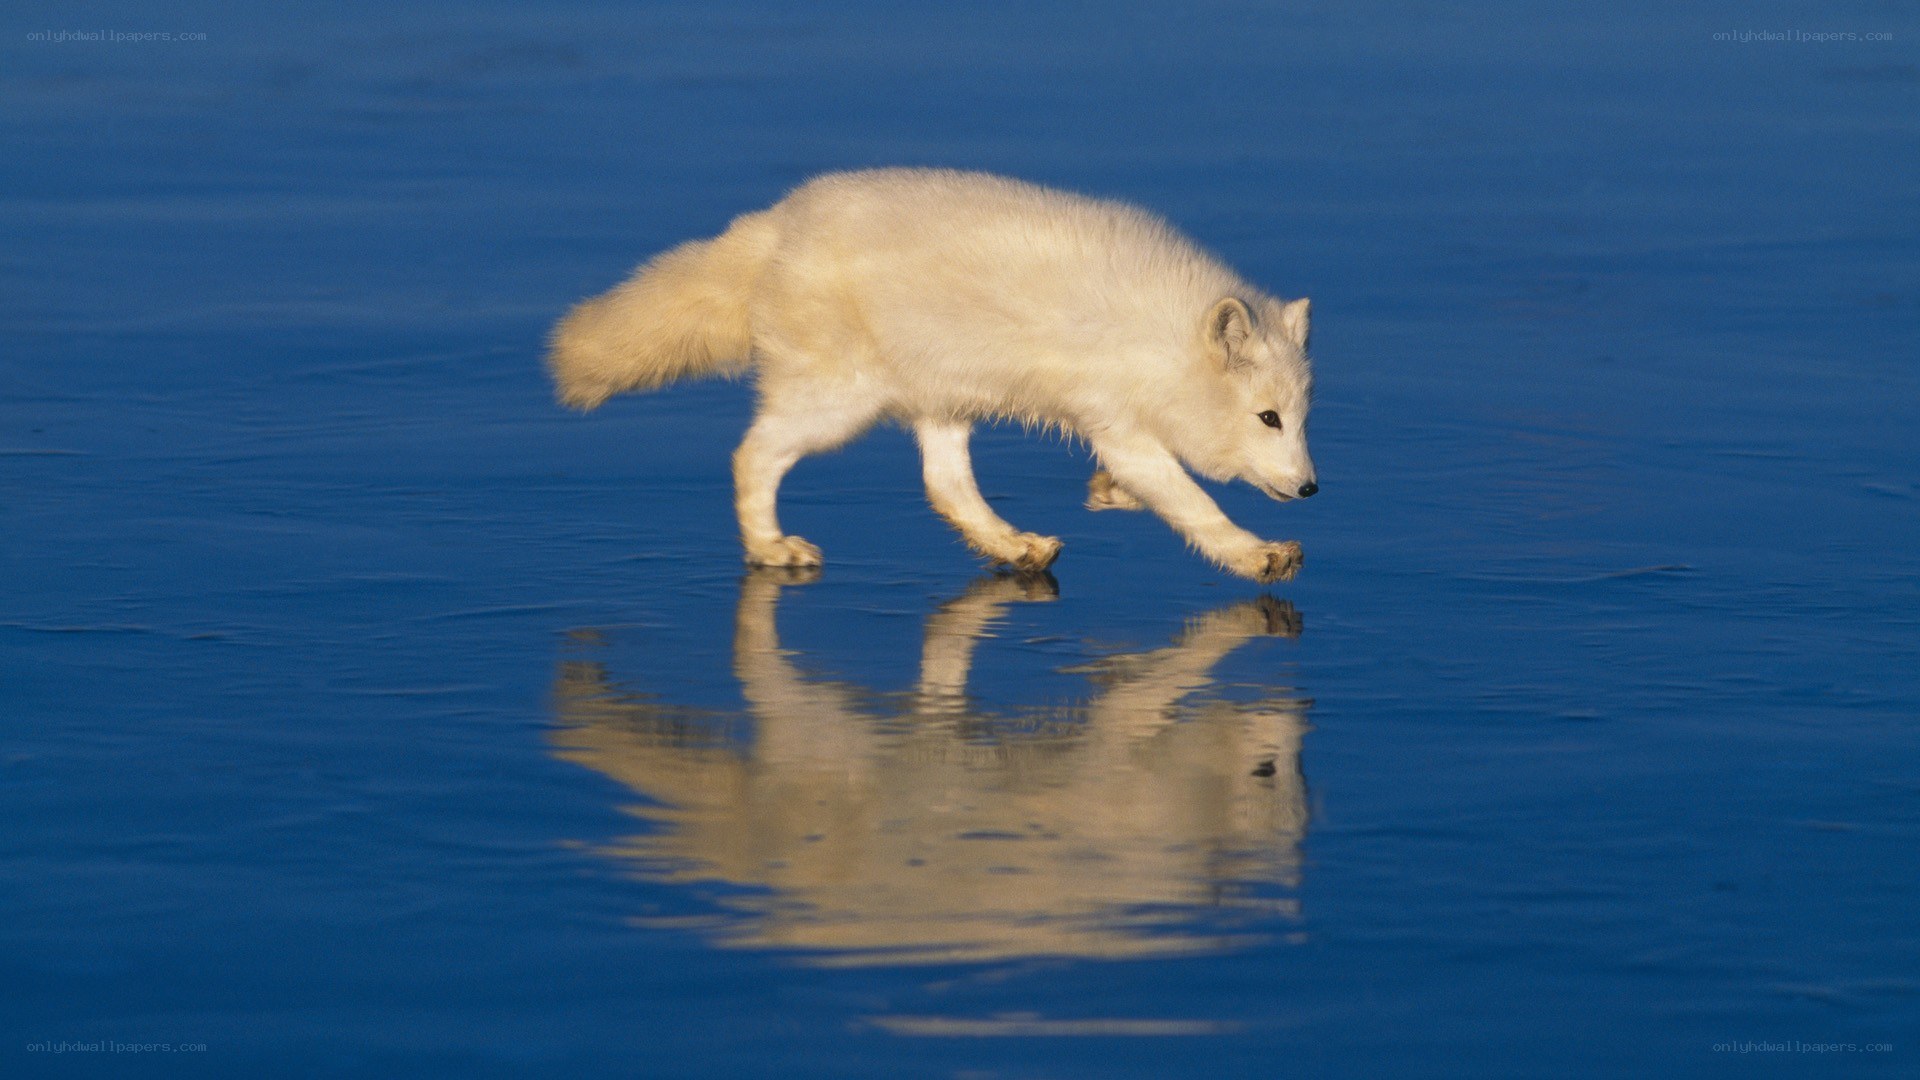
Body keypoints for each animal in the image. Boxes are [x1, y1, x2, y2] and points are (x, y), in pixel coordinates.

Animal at [547, 168, 1318, 583]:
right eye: (1268, 418)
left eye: (1303, 419)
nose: (1311, 488)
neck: (1161, 336)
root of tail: (774, 224)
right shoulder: (1117, 424)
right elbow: (1195, 503)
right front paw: (1258, 555)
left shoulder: (1119, 430)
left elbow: (1152, 486)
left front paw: (1106, 495)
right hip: (840, 404)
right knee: (751, 453)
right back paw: (770, 548)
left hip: (941, 403)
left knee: (942, 487)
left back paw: (1016, 546)